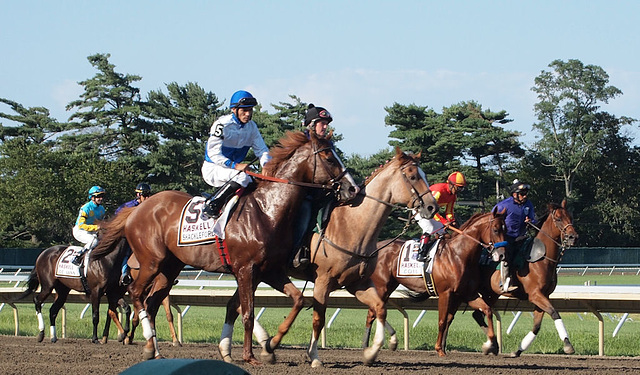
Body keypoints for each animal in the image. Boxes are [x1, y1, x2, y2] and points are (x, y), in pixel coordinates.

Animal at [92, 131, 358, 364]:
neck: (266, 210)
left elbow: (297, 300)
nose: (352, 188)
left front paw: (270, 344)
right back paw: (147, 341)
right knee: (137, 293)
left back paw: (153, 350)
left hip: (170, 268)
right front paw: (250, 356)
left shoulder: (269, 271)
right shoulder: (246, 270)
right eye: (328, 156)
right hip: (151, 262)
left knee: (152, 302)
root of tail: (136, 210)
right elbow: (247, 313)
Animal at [242, 147, 438, 368]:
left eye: (424, 175)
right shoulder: (323, 282)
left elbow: (379, 308)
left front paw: (371, 353)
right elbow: (319, 319)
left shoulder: (357, 283)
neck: (351, 226)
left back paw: (262, 341)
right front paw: (313, 356)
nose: (432, 207)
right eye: (413, 176)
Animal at [362, 212, 508, 358]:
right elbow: (442, 321)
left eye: (505, 229)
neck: (458, 255)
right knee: (372, 312)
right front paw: (439, 349)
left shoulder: (465, 294)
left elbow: (485, 310)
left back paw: (388, 341)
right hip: (382, 286)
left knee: (377, 311)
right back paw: (366, 345)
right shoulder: (445, 293)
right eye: (495, 229)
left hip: (390, 285)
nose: (502, 255)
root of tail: (376, 249)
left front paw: (491, 345)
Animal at [472, 200, 576, 358]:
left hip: (491, 294)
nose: (573, 237)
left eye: (570, 217)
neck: (541, 259)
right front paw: (568, 344)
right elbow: (554, 313)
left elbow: (537, 326)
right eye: (558, 218)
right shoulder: (535, 294)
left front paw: (518, 350)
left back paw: (491, 344)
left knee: (478, 314)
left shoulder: (543, 296)